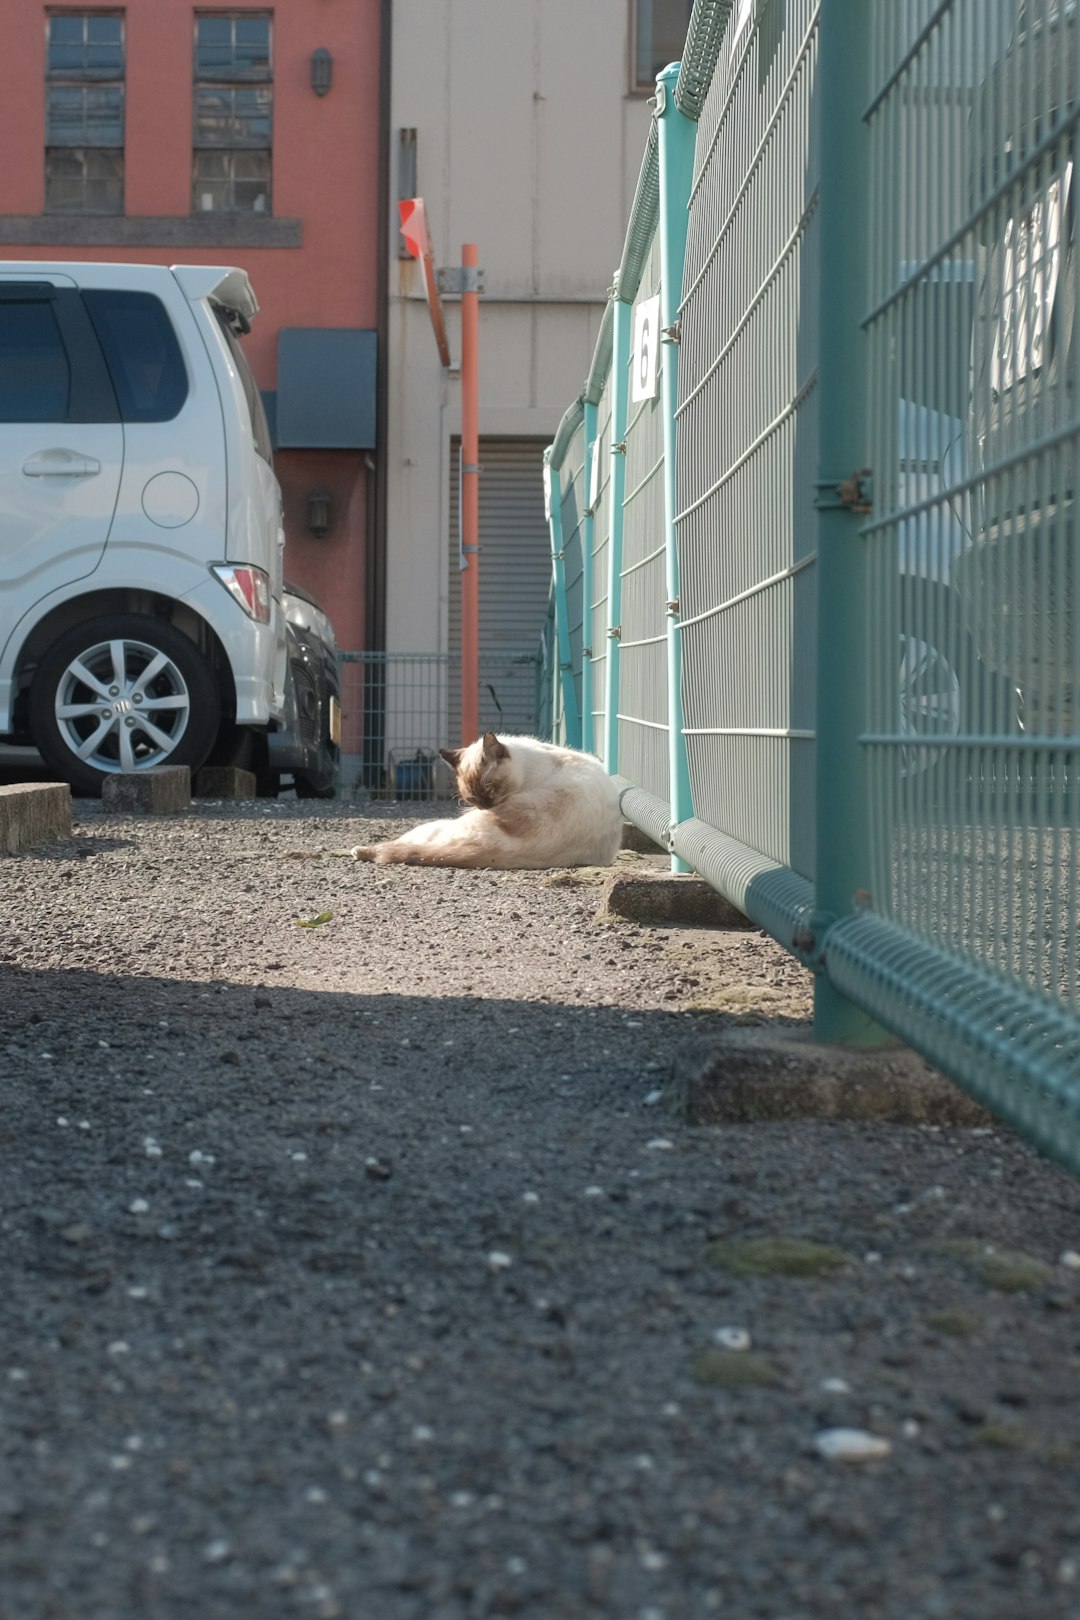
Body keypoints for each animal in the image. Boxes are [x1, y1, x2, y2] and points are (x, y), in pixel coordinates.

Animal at [352, 738, 625, 874]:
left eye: (492, 790)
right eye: (472, 799)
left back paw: (357, 850)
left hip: (435, 827)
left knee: (395, 845)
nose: (484, 807)